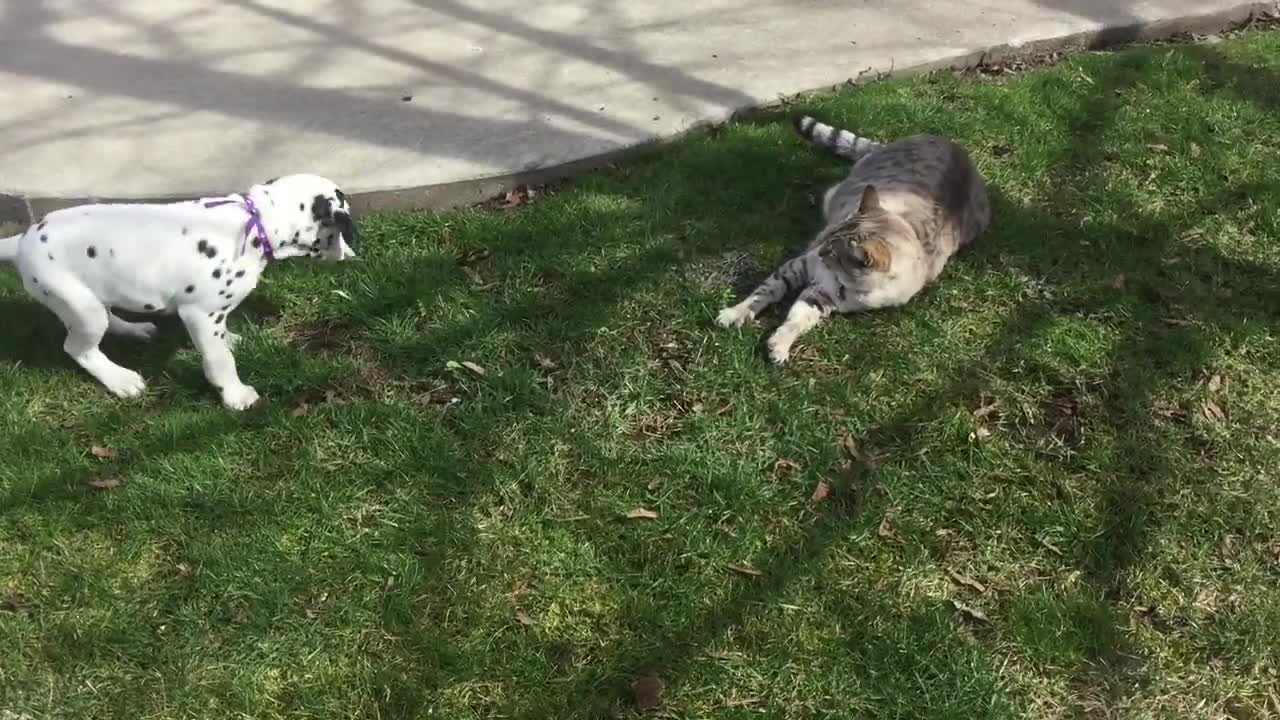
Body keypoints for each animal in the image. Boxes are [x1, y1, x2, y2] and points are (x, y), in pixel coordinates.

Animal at [0, 172, 358, 409]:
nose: (353, 256)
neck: (257, 222)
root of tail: (22, 240)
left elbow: (223, 340)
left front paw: (231, 339)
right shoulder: (201, 313)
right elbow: (220, 359)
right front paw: (235, 395)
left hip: (93, 299)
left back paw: (134, 329)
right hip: (81, 308)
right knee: (79, 349)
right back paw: (121, 380)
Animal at [716, 117, 993, 363]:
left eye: (832, 251)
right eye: (826, 240)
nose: (817, 249)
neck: (844, 283)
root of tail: (955, 147)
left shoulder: (820, 297)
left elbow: (796, 320)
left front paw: (780, 344)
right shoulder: (799, 266)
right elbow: (764, 293)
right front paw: (734, 314)